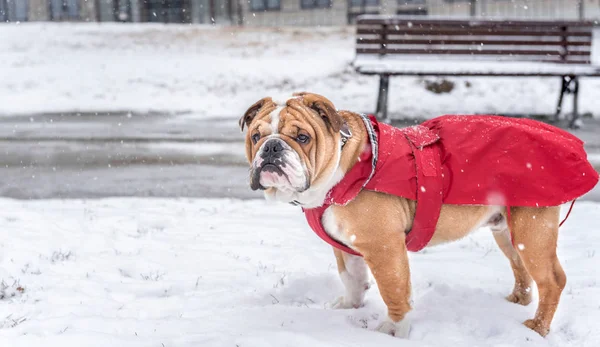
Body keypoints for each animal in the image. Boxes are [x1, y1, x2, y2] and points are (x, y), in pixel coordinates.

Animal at [237, 92, 596, 340]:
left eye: (302, 137)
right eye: (256, 136)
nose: (272, 148)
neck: (343, 167)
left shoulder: (384, 247)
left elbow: (393, 290)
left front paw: (392, 332)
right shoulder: (344, 246)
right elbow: (352, 278)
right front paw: (348, 307)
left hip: (532, 231)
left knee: (552, 280)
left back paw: (535, 328)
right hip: (507, 232)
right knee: (521, 269)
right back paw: (516, 302)